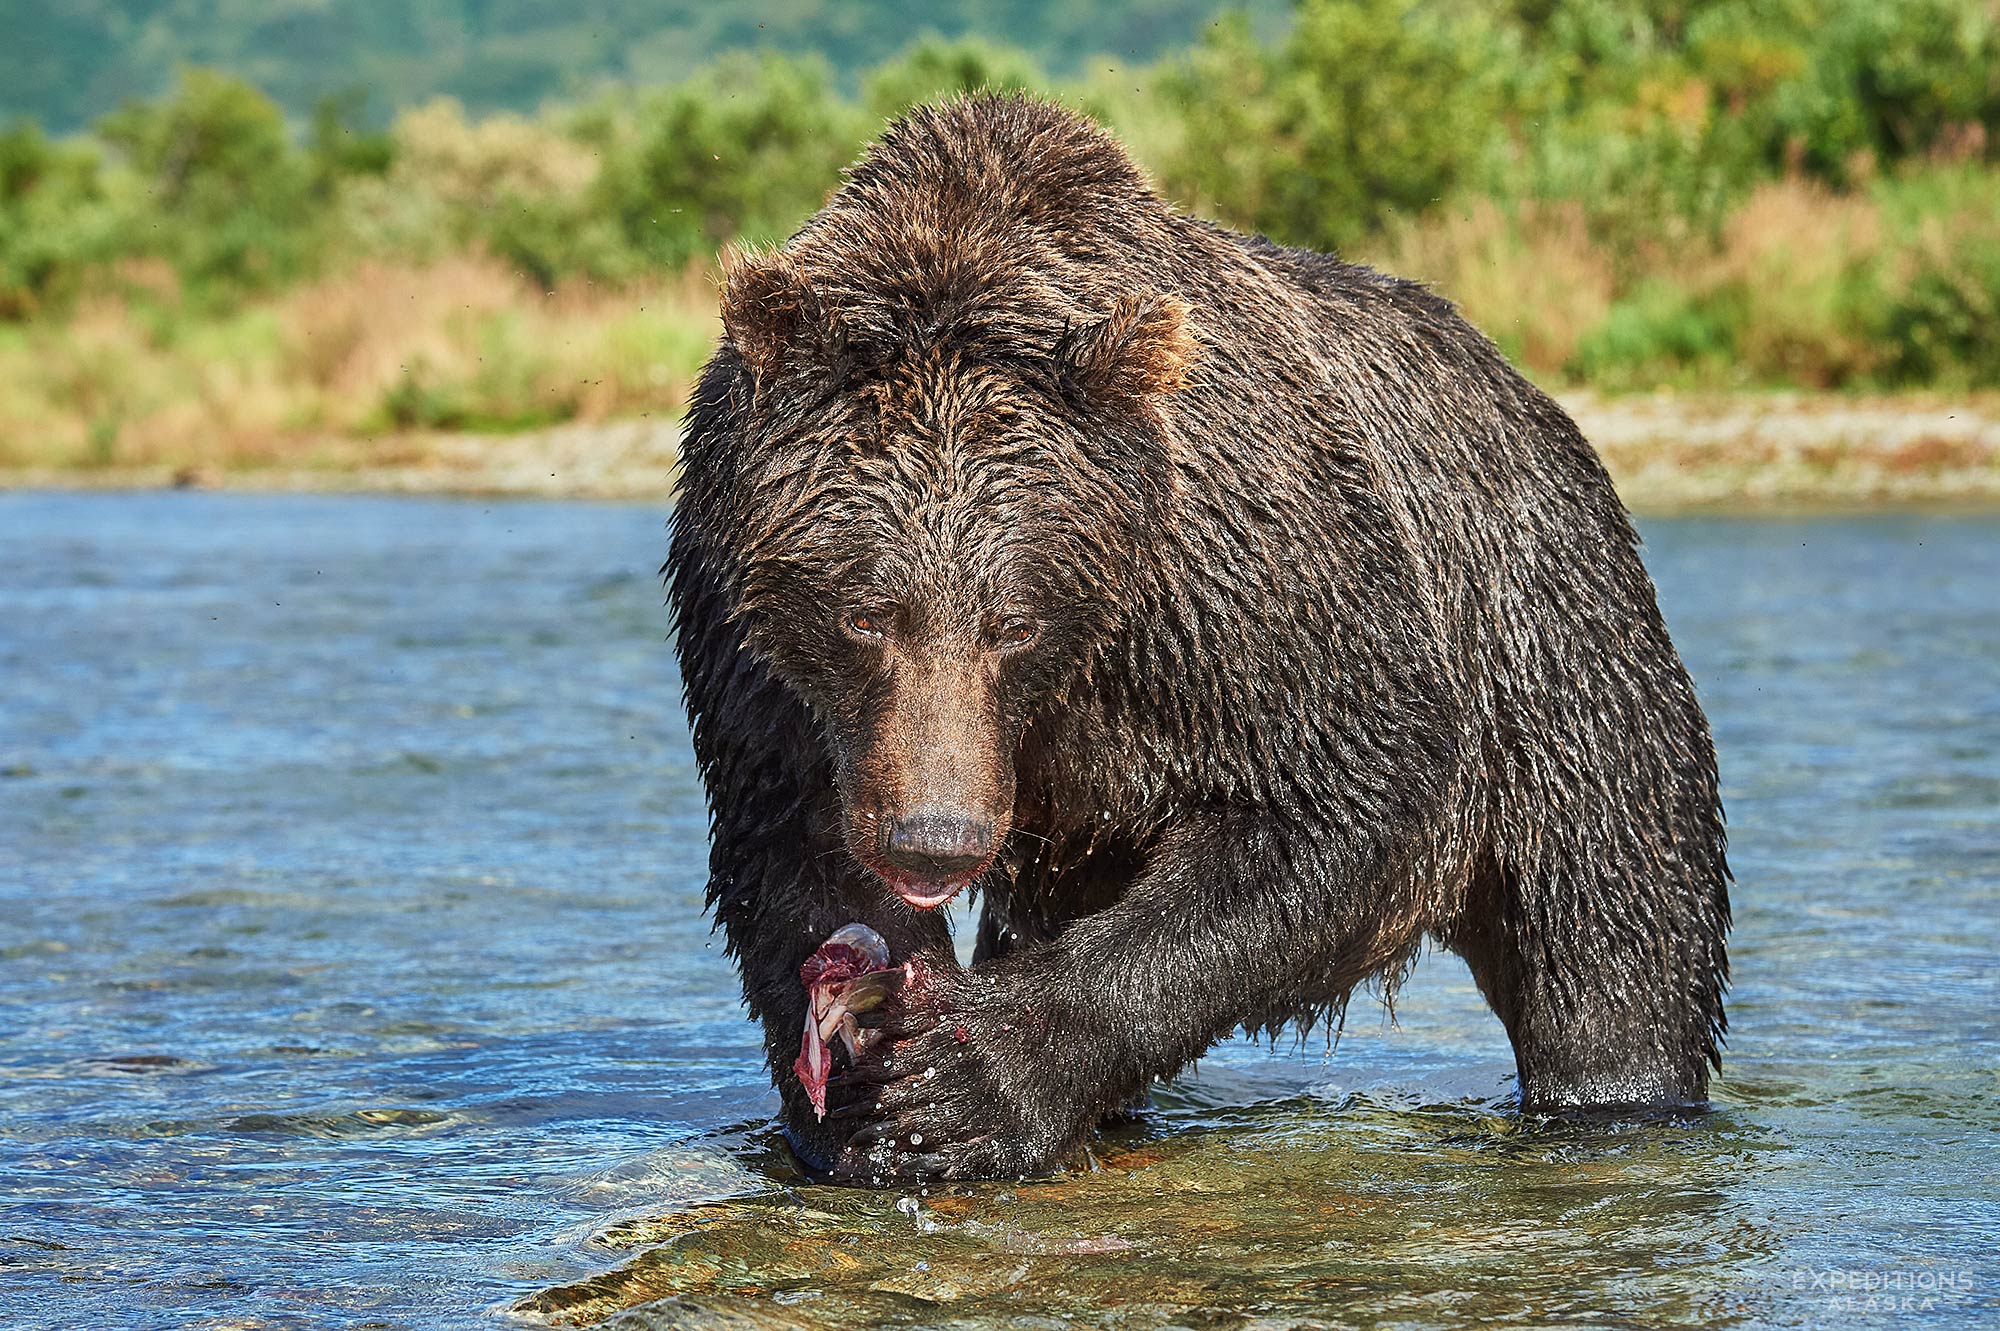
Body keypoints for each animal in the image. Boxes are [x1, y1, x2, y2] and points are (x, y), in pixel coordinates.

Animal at [665, 93, 1731, 1184]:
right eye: (865, 613)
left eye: (1012, 622)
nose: (933, 840)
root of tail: (1528, 392)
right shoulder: (747, 636)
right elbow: (787, 837)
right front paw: (858, 1090)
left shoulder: (1244, 578)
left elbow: (1348, 796)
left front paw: (970, 1081)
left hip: (1547, 639)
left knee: (1610, 927)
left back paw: (1615, 1091)